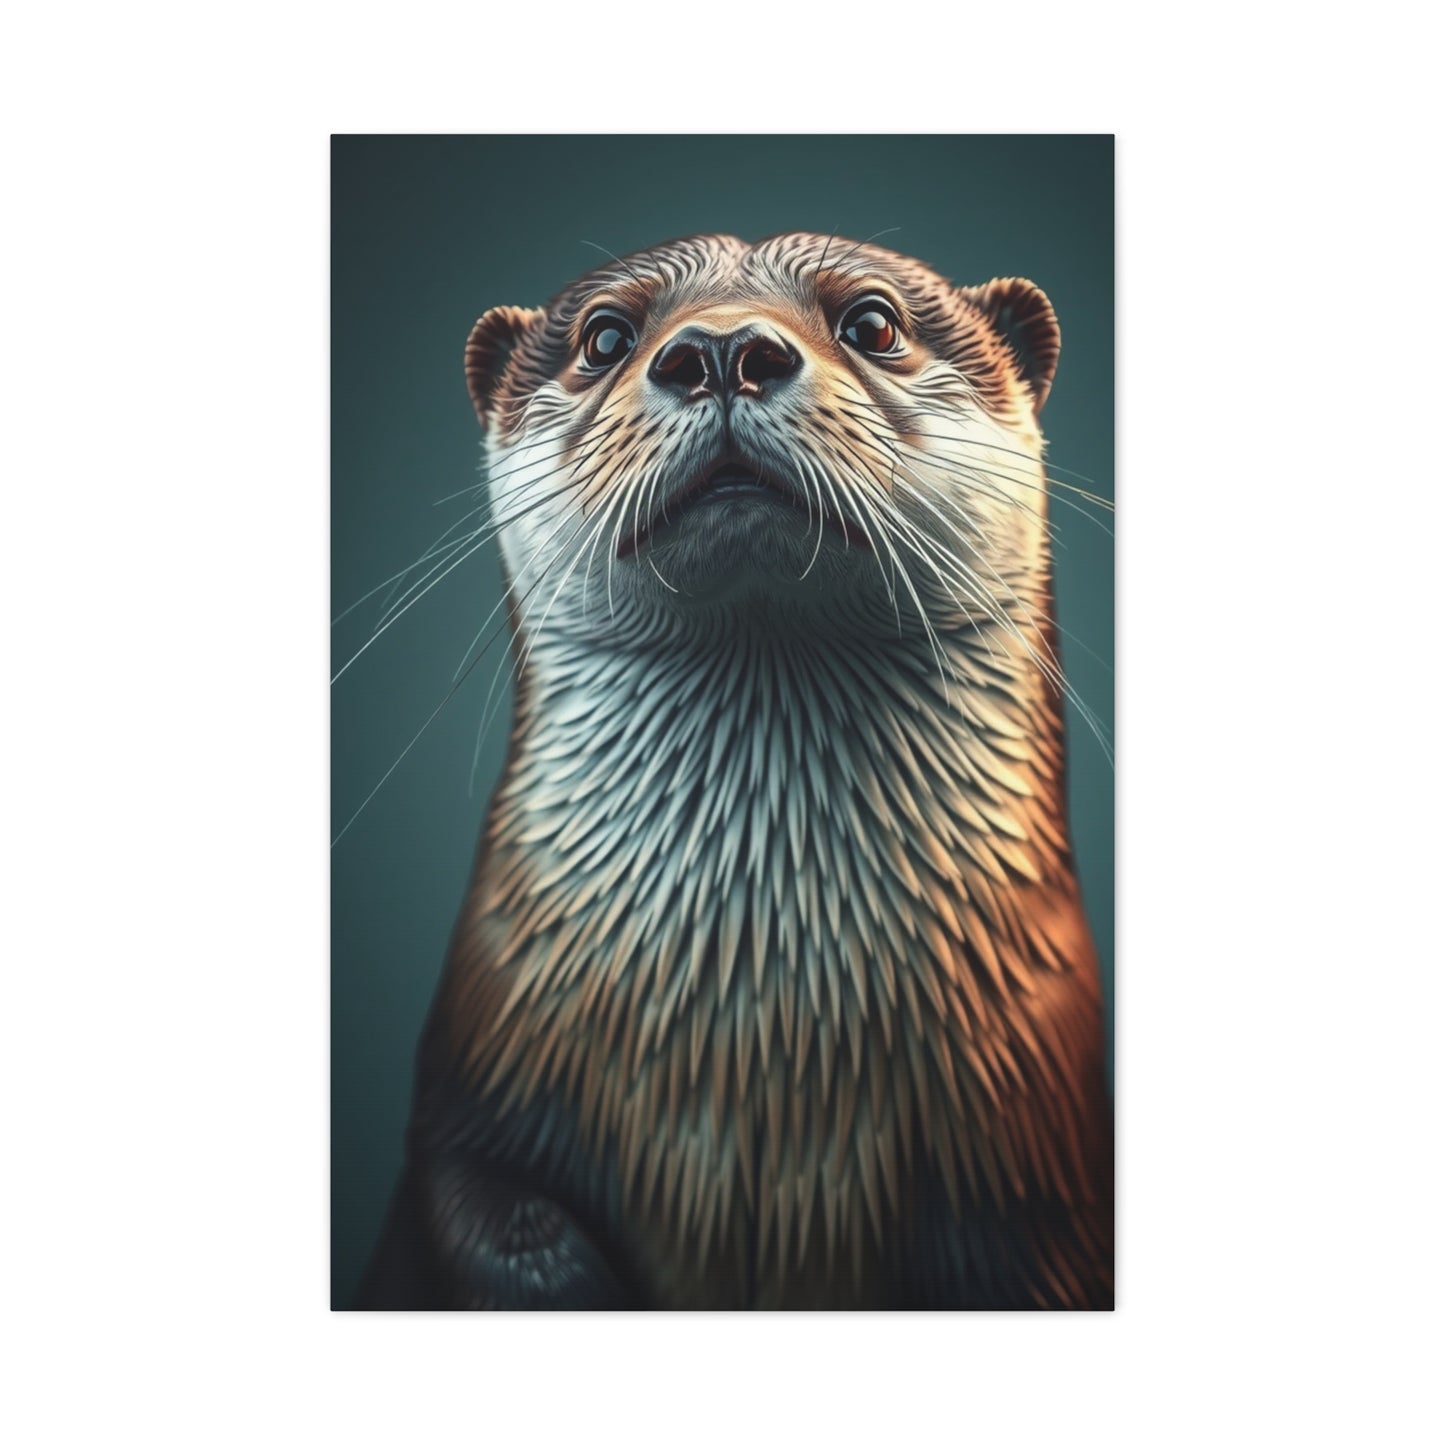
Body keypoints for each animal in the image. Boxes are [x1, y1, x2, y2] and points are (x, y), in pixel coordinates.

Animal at [355, 233, 1112, 1309]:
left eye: (871, 321)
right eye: (605, 336)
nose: (719, 351)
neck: (760, 1038)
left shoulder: (1047, 1168)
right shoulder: (463, 1113)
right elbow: (496, 1228)